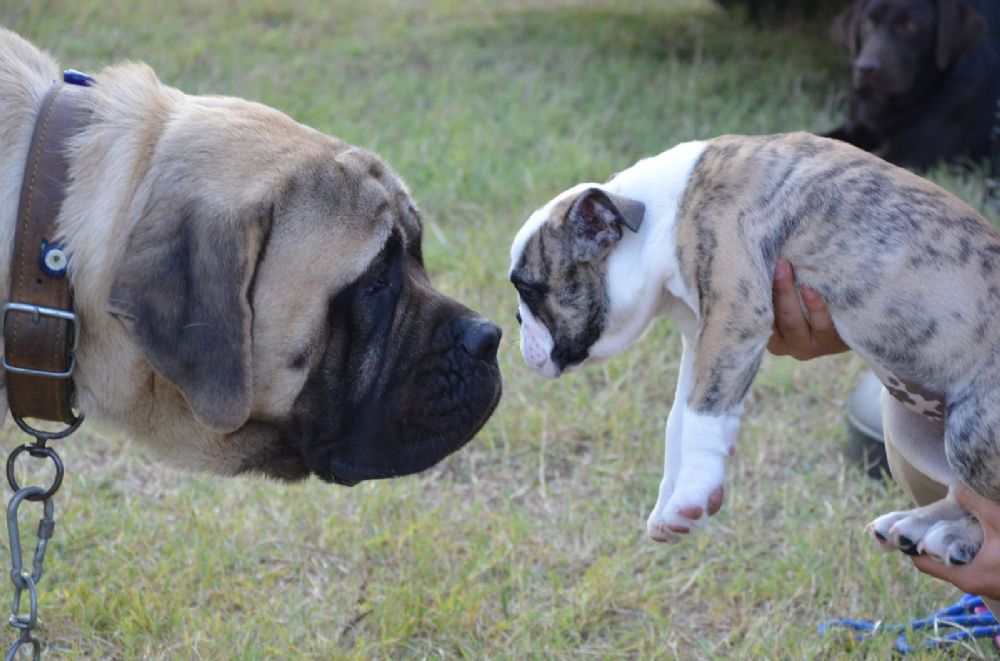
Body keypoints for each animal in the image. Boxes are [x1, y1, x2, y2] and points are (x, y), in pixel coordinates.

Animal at [512, 131, 996, 564]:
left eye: (529, 290)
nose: (516, 322)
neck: (663, 213)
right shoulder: (703, 336)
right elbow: (680, 419)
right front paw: (672, 500)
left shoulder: (734, 316)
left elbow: (700, 416)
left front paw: (690, 497)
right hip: (906, 419)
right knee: (964, 493)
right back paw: (916, 524)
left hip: (969, 430)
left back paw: (953, 538)